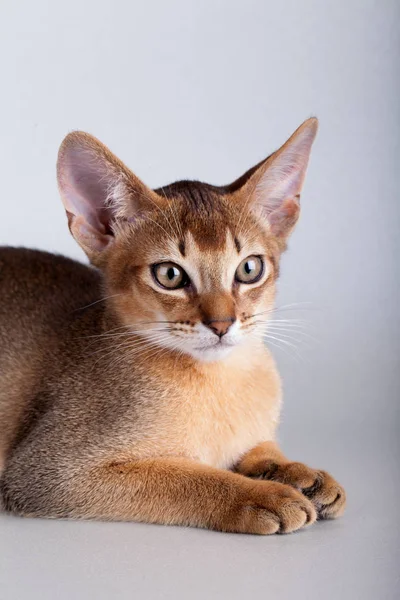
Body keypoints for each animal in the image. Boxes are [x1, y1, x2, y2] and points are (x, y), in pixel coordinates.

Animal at [0, 118, 346, 536]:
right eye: (169, 275)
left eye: (250, 268)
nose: (221, 323)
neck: (220, 382)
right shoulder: (45, 472)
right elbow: (186, 476)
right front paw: (262, 495)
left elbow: (259, 448)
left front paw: (298, 472)